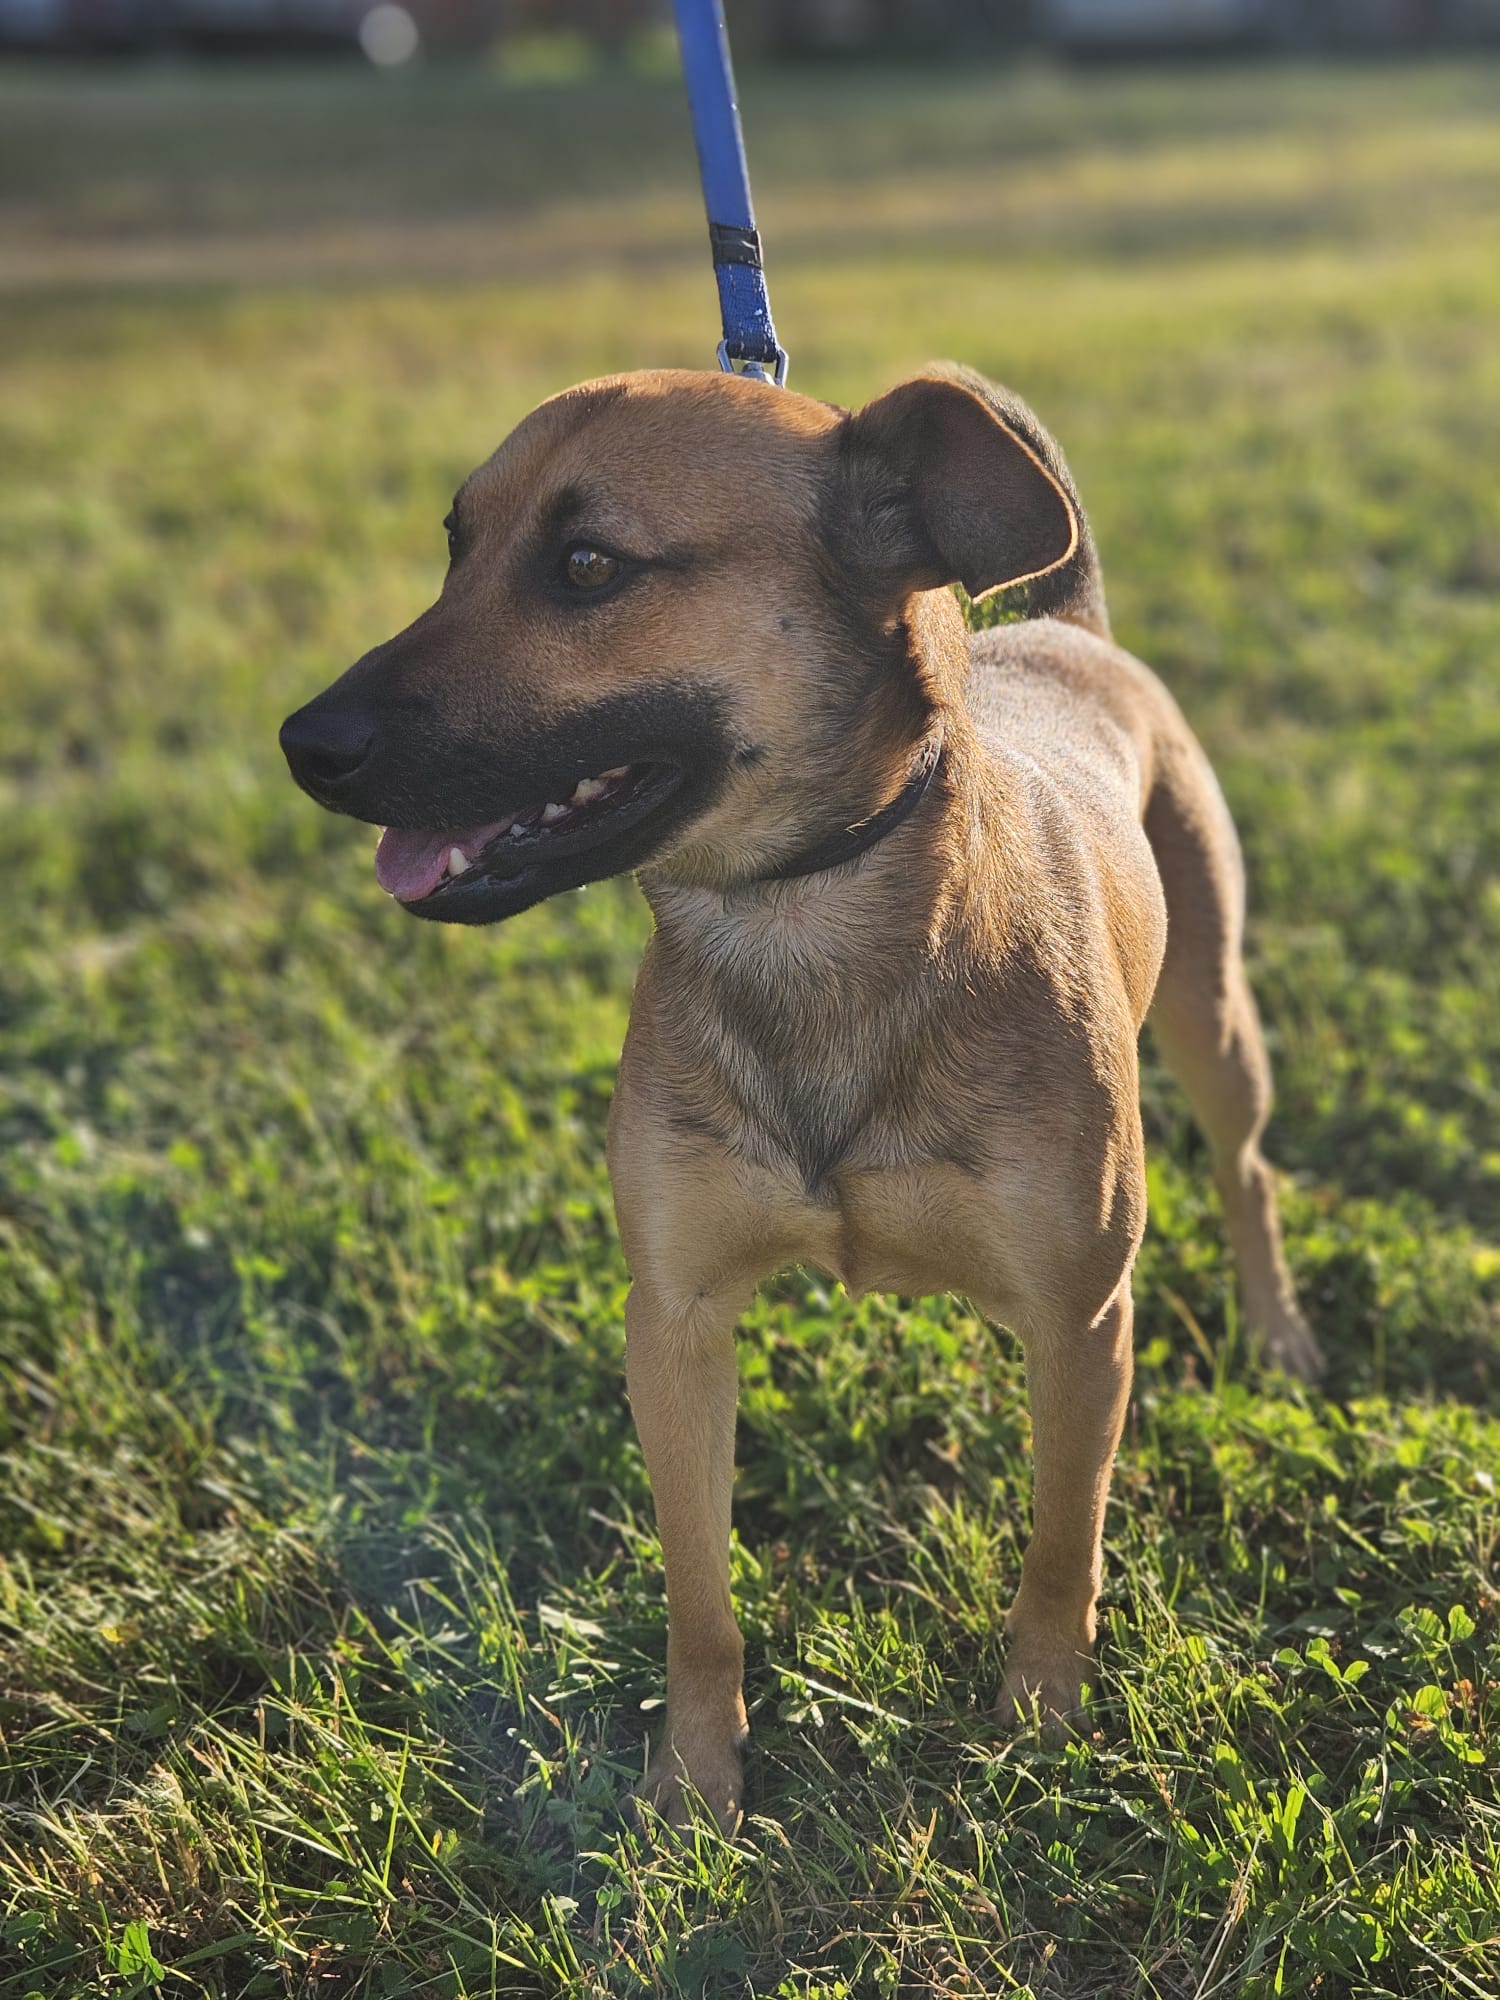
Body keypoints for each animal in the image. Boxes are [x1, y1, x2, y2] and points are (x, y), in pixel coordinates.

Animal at [281, 365, 1321, 1831]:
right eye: (455, 545)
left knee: (1248, 1169)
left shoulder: (1082, 1320)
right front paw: (693, 1786)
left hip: (1213, 1016)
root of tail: (1065, 630)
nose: (303, 744)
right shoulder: (673, 1322)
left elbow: (1063, 1545)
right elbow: (698, 1597)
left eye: (587, 565)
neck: (803, 915)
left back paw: (1279, 1334)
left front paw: (1039, 1722)